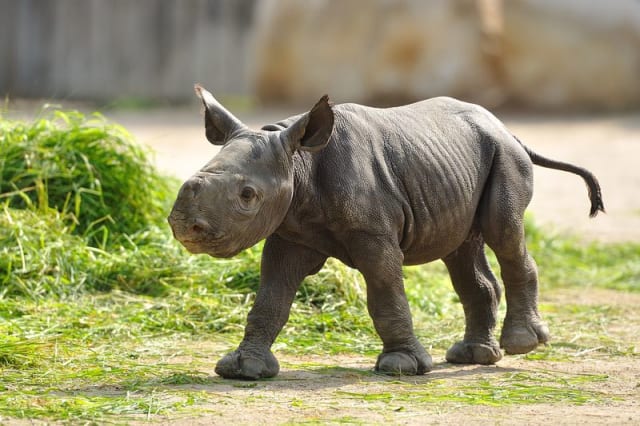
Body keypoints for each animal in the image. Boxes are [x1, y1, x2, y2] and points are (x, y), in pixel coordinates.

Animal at [168, 85, 604, 380]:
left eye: (247, 195)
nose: (184, 224)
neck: (298, 162)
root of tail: (508, 130)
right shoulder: (290, 232)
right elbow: (271, 297)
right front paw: (243, 369)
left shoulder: (373, 234)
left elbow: (384, 291)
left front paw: (401, 366)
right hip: (460, 162)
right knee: (462, 251)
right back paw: (473, 356)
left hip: (505, 158)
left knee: (504, 233)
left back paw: (522, 344)